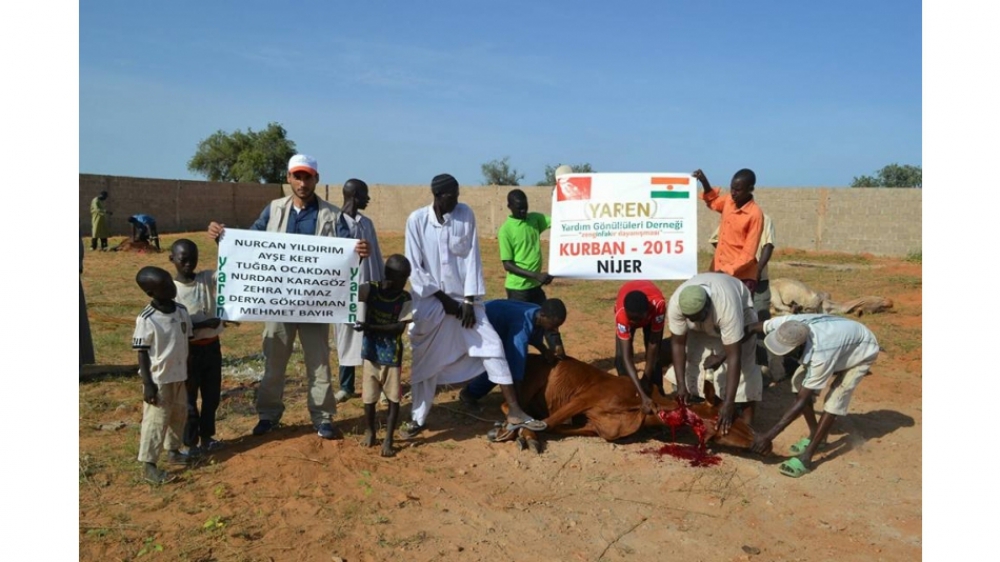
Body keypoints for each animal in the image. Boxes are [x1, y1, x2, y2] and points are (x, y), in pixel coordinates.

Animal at [492, 356, 752, 452]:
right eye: (724, 417)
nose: (755, 437)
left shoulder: (597, 427)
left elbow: (553, 425)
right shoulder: (586, 397)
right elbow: (545, 423)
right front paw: (523, 436)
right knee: (507, 405)